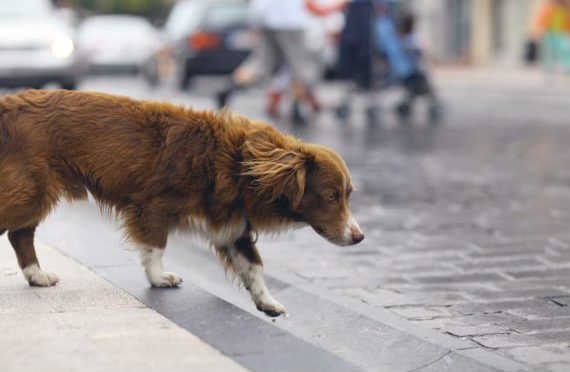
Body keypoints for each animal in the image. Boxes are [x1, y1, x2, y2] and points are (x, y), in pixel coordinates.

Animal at [0, 90, 362, 316]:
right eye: (331, 196)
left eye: (348, 195)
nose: (359, 237)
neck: (237, 164)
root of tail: (8, 105)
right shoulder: (152, 207)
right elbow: (156, 247)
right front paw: (159, 278)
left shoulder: (232, 227)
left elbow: (255, 267)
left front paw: (267, 302)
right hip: (31, 192)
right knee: (17, 231)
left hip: (34, 195)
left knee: (20, 235)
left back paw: (37, 276)